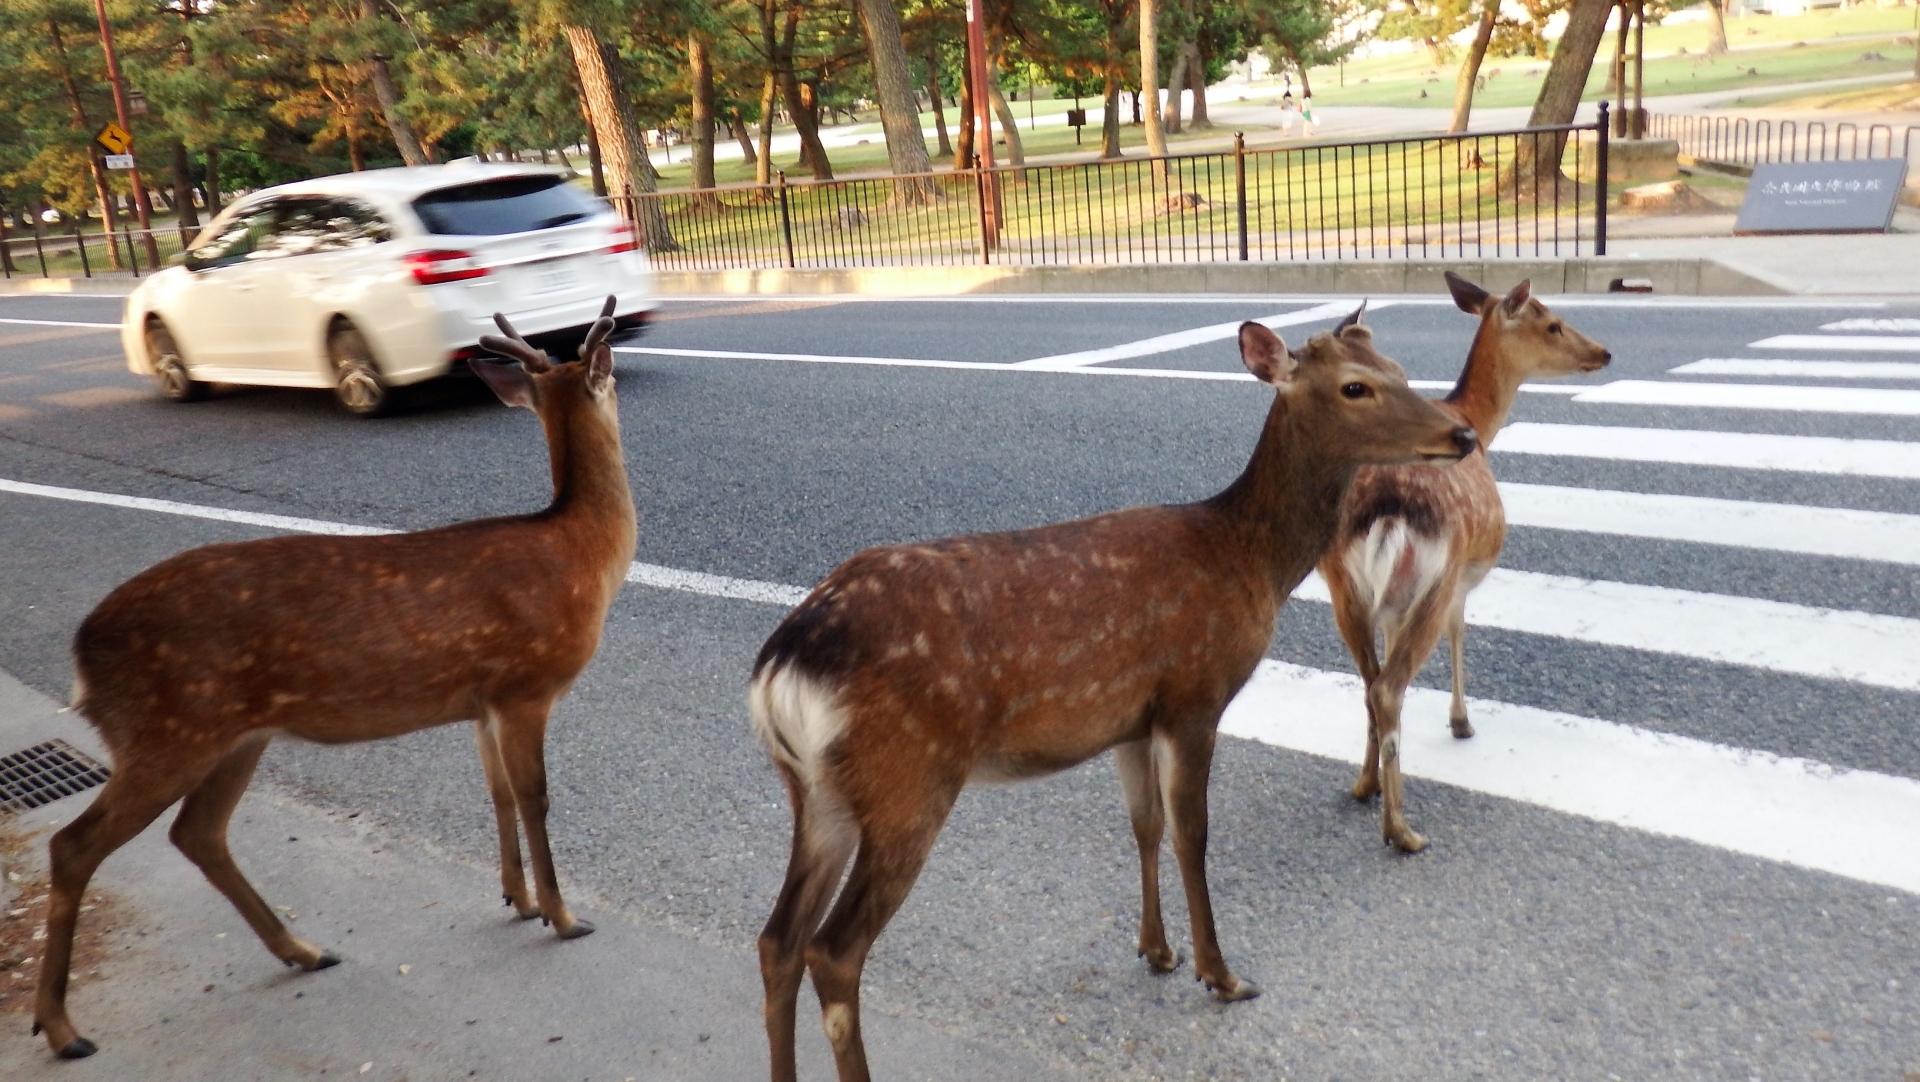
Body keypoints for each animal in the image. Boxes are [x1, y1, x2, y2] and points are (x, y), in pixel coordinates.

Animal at [33, 298, 638, 1060]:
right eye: (608, 385)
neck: (578, 556)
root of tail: (82, 658)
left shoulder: (482, 700)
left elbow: (497, 792)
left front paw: (518, 899)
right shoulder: (528, 683)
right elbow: (534, 797)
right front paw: (563, 915)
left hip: (229, 735)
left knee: (198, 834)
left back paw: (305, 950)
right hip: (168, 728)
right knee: (74, 844)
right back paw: (62, 1029)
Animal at [749, 308, 1479, 1082]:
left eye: (1399, 369)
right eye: (1355, 387)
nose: (1462, 435)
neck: (1248, 560)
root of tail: (780, 669)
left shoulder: (1132, 718)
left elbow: (1144, 826)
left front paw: (1157, 950)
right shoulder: (1194, 694)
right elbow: (1192, 834)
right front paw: (1221, 975)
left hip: (817, 789)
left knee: (777, 939)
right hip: (907, 780)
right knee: (834, 950)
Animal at [1323, 273, 1609, 854]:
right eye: (1553, 323)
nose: (1603, 352)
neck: (1474, 418)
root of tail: (1387, 508)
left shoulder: (1391, 601)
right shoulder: (1462, 576)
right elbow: (1461, 630)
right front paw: (1461, 722)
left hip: (1344, 586)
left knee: (1370, 683)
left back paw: (1364, 785)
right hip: (1437, 572)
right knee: (1389, 686)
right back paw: (1402, 829)